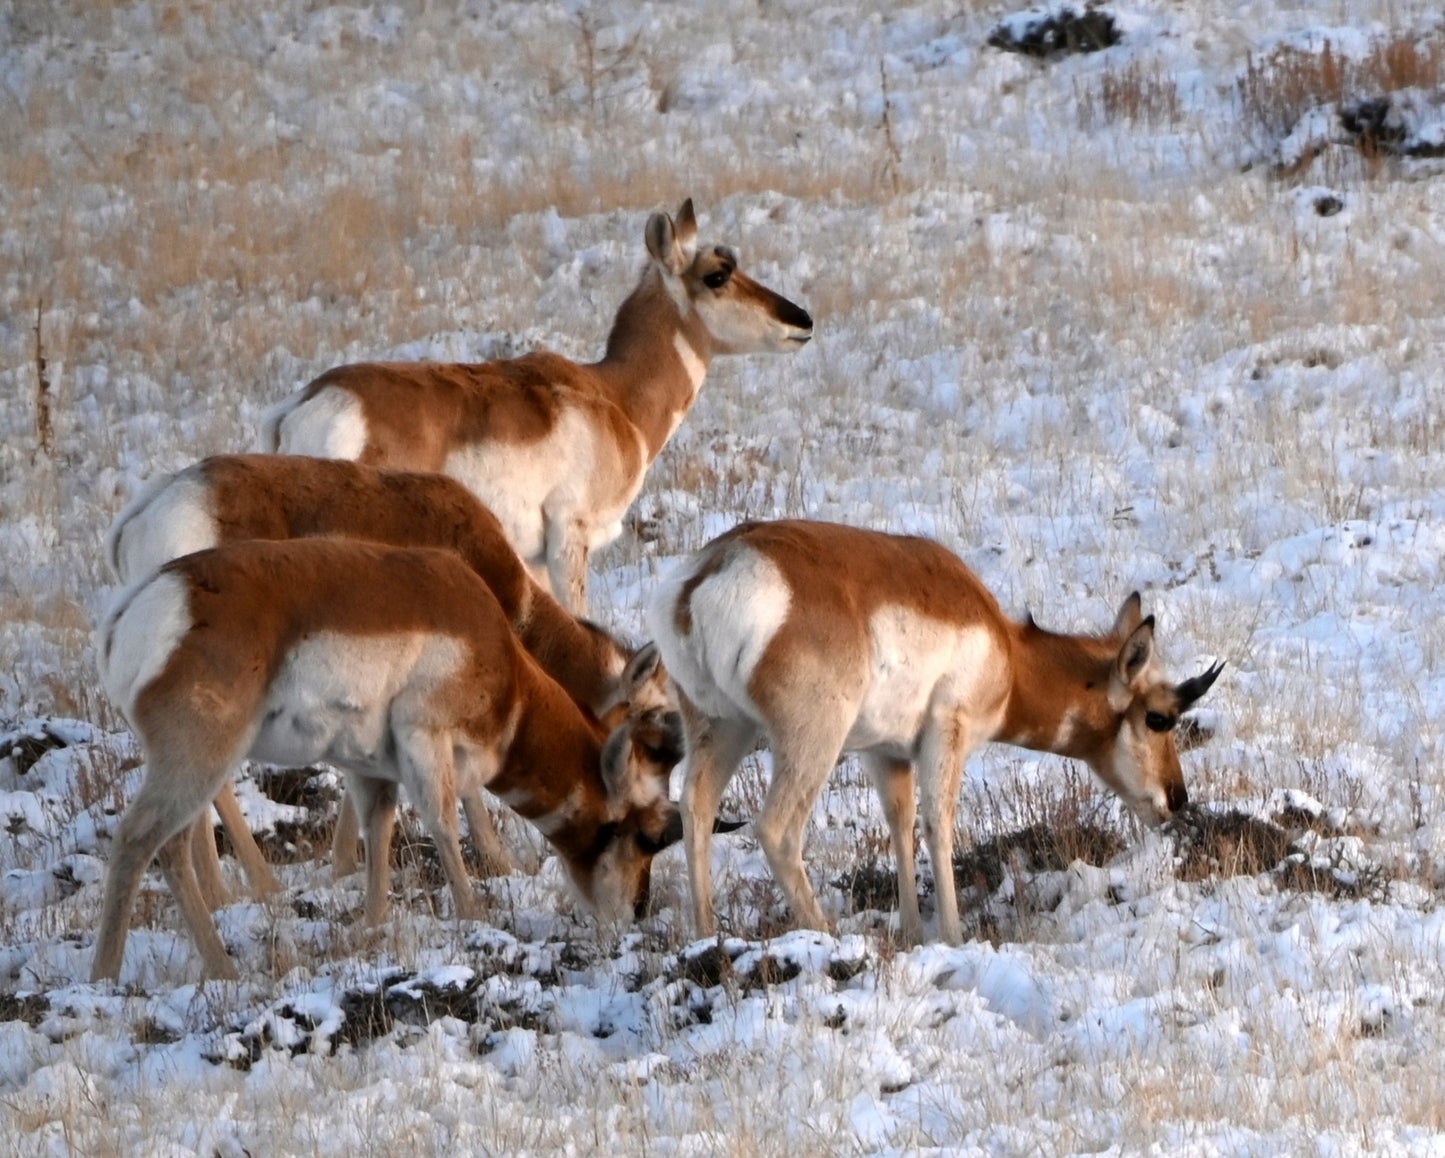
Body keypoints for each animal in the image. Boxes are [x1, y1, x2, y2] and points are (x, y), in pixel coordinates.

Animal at [90, 537, 687, 983]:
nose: (636, 912)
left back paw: (214, 968)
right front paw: (475, 918)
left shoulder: (370, 769)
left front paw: (374, 928)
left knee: (169, 849)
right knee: (142, 841)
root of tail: (144, 607)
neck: (504, 669)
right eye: (642, 834)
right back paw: (117, 975)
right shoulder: (425, 740)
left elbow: (377, 834)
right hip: (200, 760)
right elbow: (443, 824)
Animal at [108, 451, 676, 896]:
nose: (659, 816)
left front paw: (344, 863)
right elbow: (462, 785)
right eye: (654, 728)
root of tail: (150, 510)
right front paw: (498, 860)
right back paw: (249, 889)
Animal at [264, 199, 814, 612]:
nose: (803, 319)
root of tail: (307, 404)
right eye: (718, 274)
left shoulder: (532, 561)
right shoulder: (569, 542)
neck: (614, 396)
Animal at [650, 520, 1225, 942]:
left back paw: (706, 940)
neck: (1010, 654)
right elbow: (938, 824)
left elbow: (901, 824)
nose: (1177, 798)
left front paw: (911, 933)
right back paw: (826, 934)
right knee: (776, 828)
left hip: (725, 728)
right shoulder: (947, 733)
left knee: (696, 805)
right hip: (810, 740)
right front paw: (953, 936)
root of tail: (712, 571)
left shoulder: (885, 754)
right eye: (1158, 717)